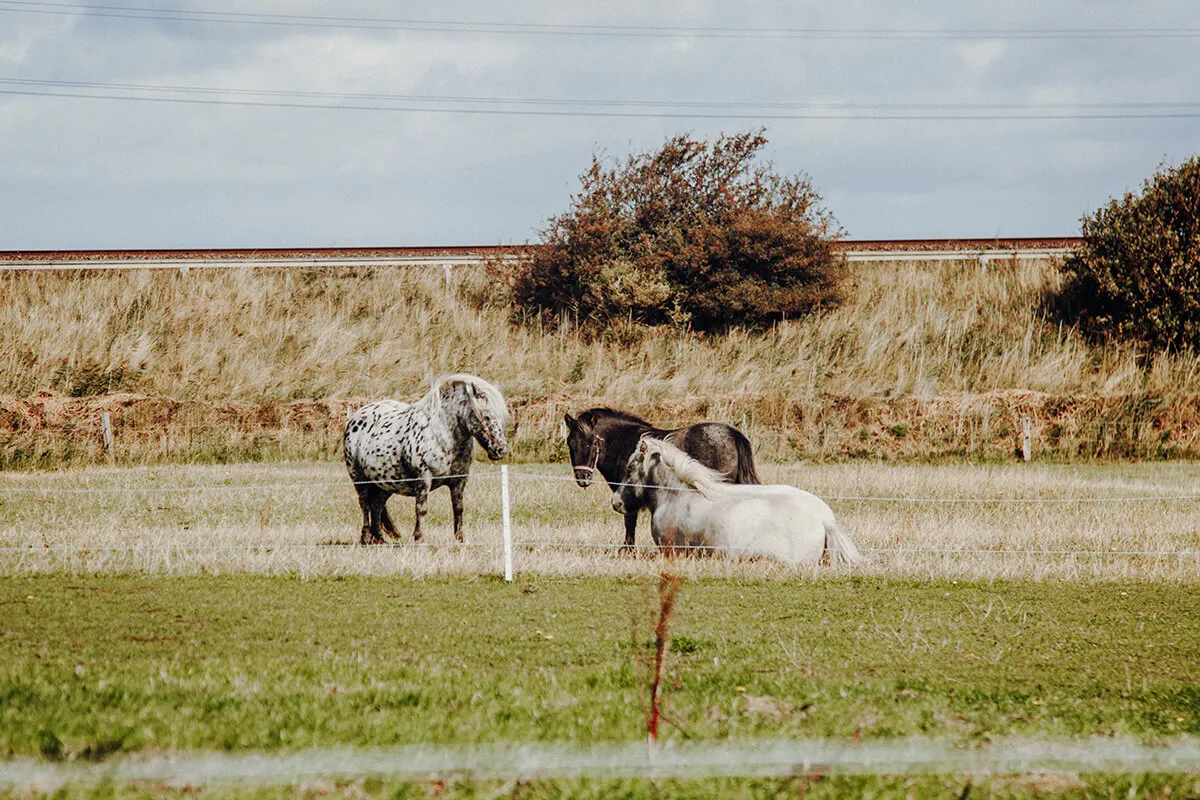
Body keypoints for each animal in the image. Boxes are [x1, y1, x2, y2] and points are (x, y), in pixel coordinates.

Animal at [343, 374, 510, 545]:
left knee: (377, 505)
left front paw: (461, 539)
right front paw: (418, 538)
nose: (501, 450)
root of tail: (355, 416)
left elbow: (458, 508)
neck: (441, 436)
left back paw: (380, 539)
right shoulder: (424, 479)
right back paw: (365, 537)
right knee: (365, 505)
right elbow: (421, 509)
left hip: (386, 482)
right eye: (486, 416)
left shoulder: (459, 481)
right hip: (359, 479)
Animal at [564, 407, 759, 550]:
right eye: (570, 444)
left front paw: (628, 550)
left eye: (591, 443)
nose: (582, 477)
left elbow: (629, 522)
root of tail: (733, 433)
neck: (625, 444)